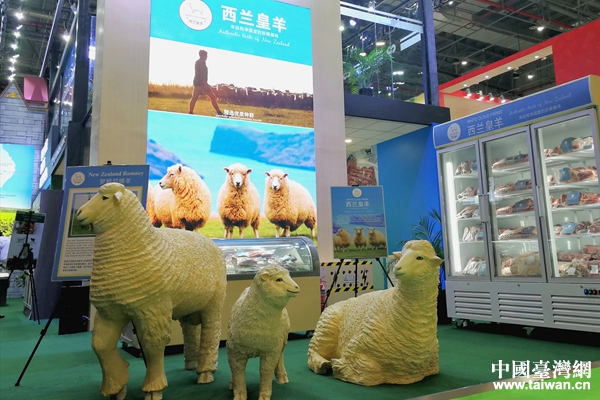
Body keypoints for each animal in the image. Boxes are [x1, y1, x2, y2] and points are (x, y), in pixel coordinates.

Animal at [76, 182, 227, 400]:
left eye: (104, 198)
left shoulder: (152, 311)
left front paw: (154, 388)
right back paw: (191, 363)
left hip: (213, 304)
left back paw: (206, 371)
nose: (79, 213)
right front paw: (116, 386)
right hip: (190, 305)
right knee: (191, 331)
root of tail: (211, 243)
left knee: (211, 333)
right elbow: (100, 346)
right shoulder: (110, 313)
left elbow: (152, 345)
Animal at [227, 265, 299, 400]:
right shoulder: (235, 352)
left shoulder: (270, 352)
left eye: (290, 275)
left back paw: (282, 377)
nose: (297, 287)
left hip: (282, 342)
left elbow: (266, 371)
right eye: (279, 279)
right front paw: (239, 394)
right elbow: (238, 371)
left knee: (280, 358)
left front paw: (264, 395)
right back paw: (231, 384)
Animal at [307, 240, 443, 386]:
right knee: (312, 352)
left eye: (420, 257)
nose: (398, 268)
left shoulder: (434, 361)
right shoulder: (354, 346)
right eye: (402, 255)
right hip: (325, 331)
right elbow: (369, 371)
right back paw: (322, 364)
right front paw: (339, 367)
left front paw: (339, 367)